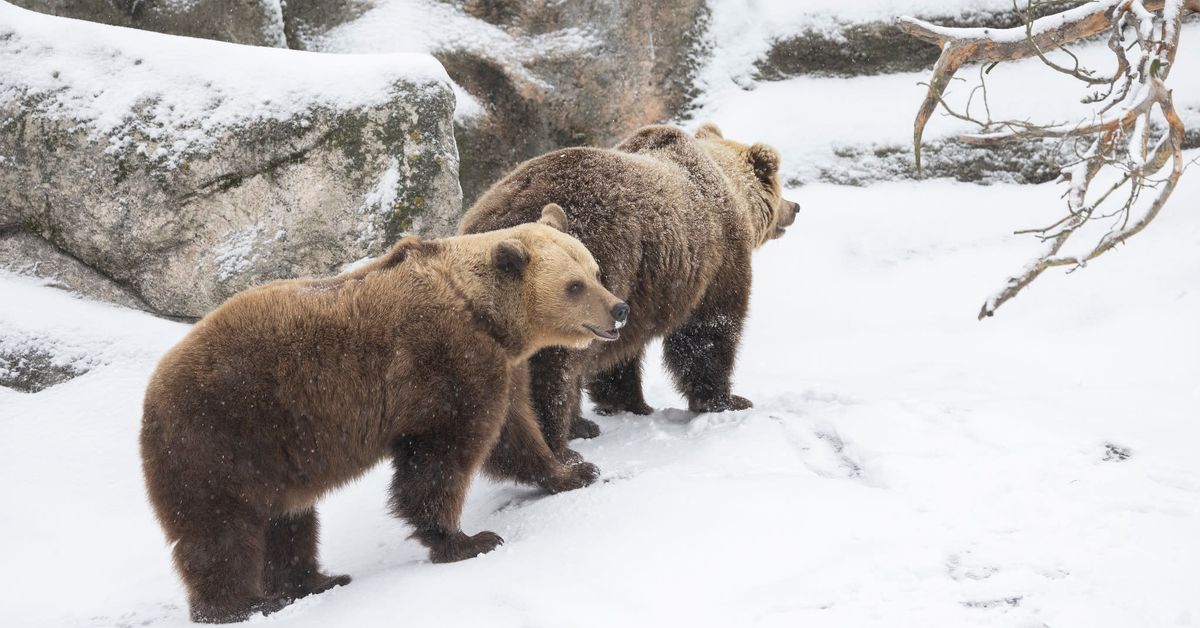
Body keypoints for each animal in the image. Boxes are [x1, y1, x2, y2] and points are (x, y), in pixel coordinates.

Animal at [140, 204, 626, 623]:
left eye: (595, 271)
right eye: (574, 286)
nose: (618, 309)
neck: (484, 313)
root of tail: (152, 388)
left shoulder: (499, 368)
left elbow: (516, 434)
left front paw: (574, 471)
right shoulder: (444, 364)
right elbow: (442, 456)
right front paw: (467, 540)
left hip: (275, 455)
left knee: (289, 520)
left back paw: (316, 580)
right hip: (221, 433)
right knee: (219, 528)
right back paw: (243, 606)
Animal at [458, 123, 799, 457]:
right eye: (779, 185)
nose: (795, 206)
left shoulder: (638, 291)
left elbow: (619, 351)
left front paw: (626, 402)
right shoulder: (716, 261)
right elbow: (709, 330)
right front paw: (727, 401)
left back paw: (579, 427)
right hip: (576, 276)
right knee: (554, 365)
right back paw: (559, 445)